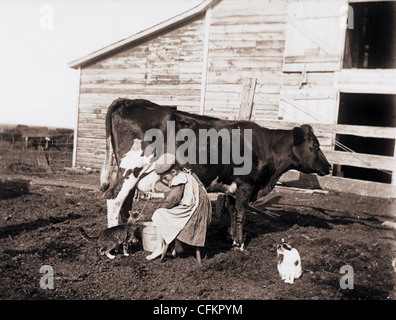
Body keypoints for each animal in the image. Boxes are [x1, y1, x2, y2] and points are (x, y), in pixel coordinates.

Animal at [99, 98, 332, 250]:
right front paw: (239, 244)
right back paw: (118, 242)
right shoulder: (247, 184)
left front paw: (231, 238)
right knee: (114, 198)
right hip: (131, 168)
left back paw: (132, 240)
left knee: (127, 201)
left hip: (133, 173)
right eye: (315, 146)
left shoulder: (235, 187)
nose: (329, 167)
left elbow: (233, 212)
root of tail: (129, 101)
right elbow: (241, 213)